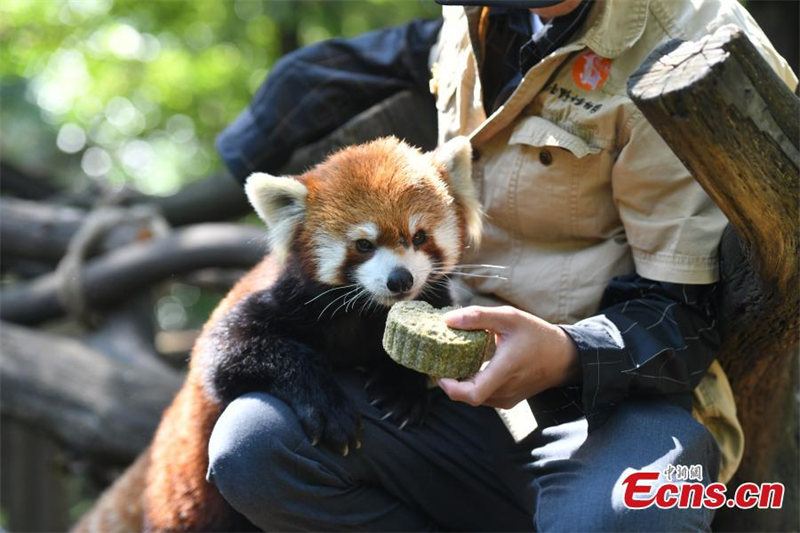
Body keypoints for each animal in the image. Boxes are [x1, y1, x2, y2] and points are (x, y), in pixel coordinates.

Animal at [76, 135, 482, 528]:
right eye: (364, 244)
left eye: (419, 236)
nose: (400, 280)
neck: (364, 311)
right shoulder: (277, 299)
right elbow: (224, 354)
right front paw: (325, 405)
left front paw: (402, 388)